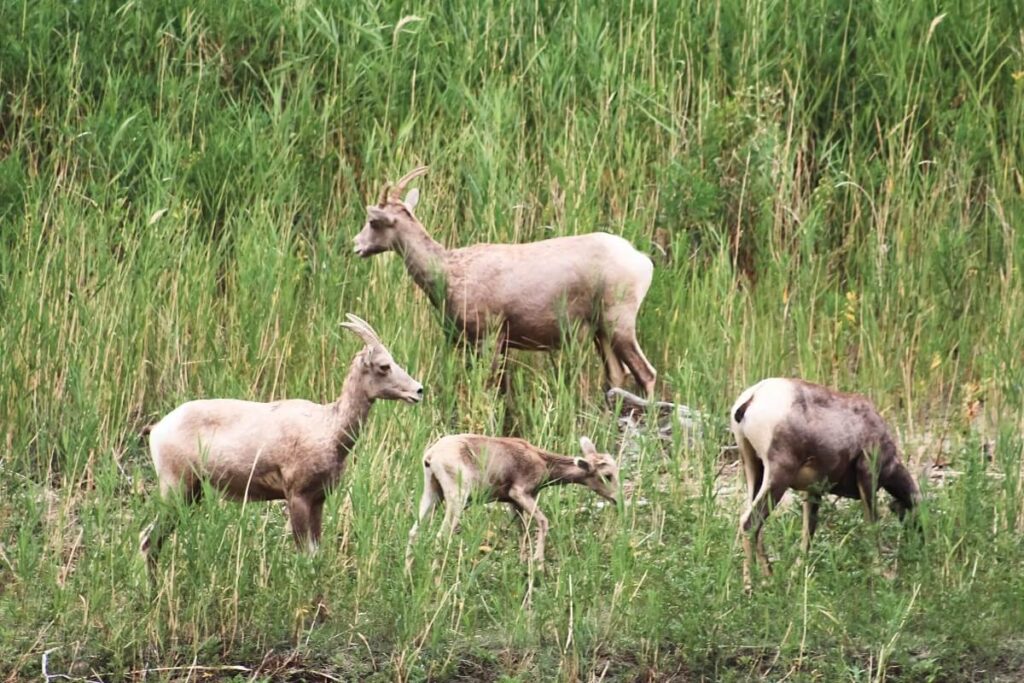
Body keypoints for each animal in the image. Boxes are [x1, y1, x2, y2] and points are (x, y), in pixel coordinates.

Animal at [139, 314, 424, 572]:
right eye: (384, 365)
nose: (418, 391)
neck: (329, 429)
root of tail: (157, 429)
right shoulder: (296, 497)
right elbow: (305, 557)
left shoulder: (318, 500)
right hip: (175, 489)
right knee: (148, 540)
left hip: (191, 494)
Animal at [353, 166, 657, 397]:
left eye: (373, 221)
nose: (356, 245)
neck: (448, 272)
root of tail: (643, 262)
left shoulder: (491, 335)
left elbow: (490, 389)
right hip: (600, 330)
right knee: (617, 375)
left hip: (619, 321)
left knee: (647, 373)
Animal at [405, 434, 619, 571]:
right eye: (607, 475)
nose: (617, 499)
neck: (545, 465)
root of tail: (430, 456)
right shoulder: (520, 492)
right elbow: (543, 522)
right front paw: (538, 564)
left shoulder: (511, 502)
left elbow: (522, 532)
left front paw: (523, 563)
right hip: (457, 497)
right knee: (440, 537)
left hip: (432, 493)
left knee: (414, 532)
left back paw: (408, 574)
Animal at [730, 377, 922, 591]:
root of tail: (753, 397)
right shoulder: (867, 478)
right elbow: (872, 525)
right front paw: (883, 573)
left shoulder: (813, 491)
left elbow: (809, 532)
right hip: (778, 476)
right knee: (750, 523)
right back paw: (750, 588)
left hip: (754, 469)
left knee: (757, 527)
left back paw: (769, 579)